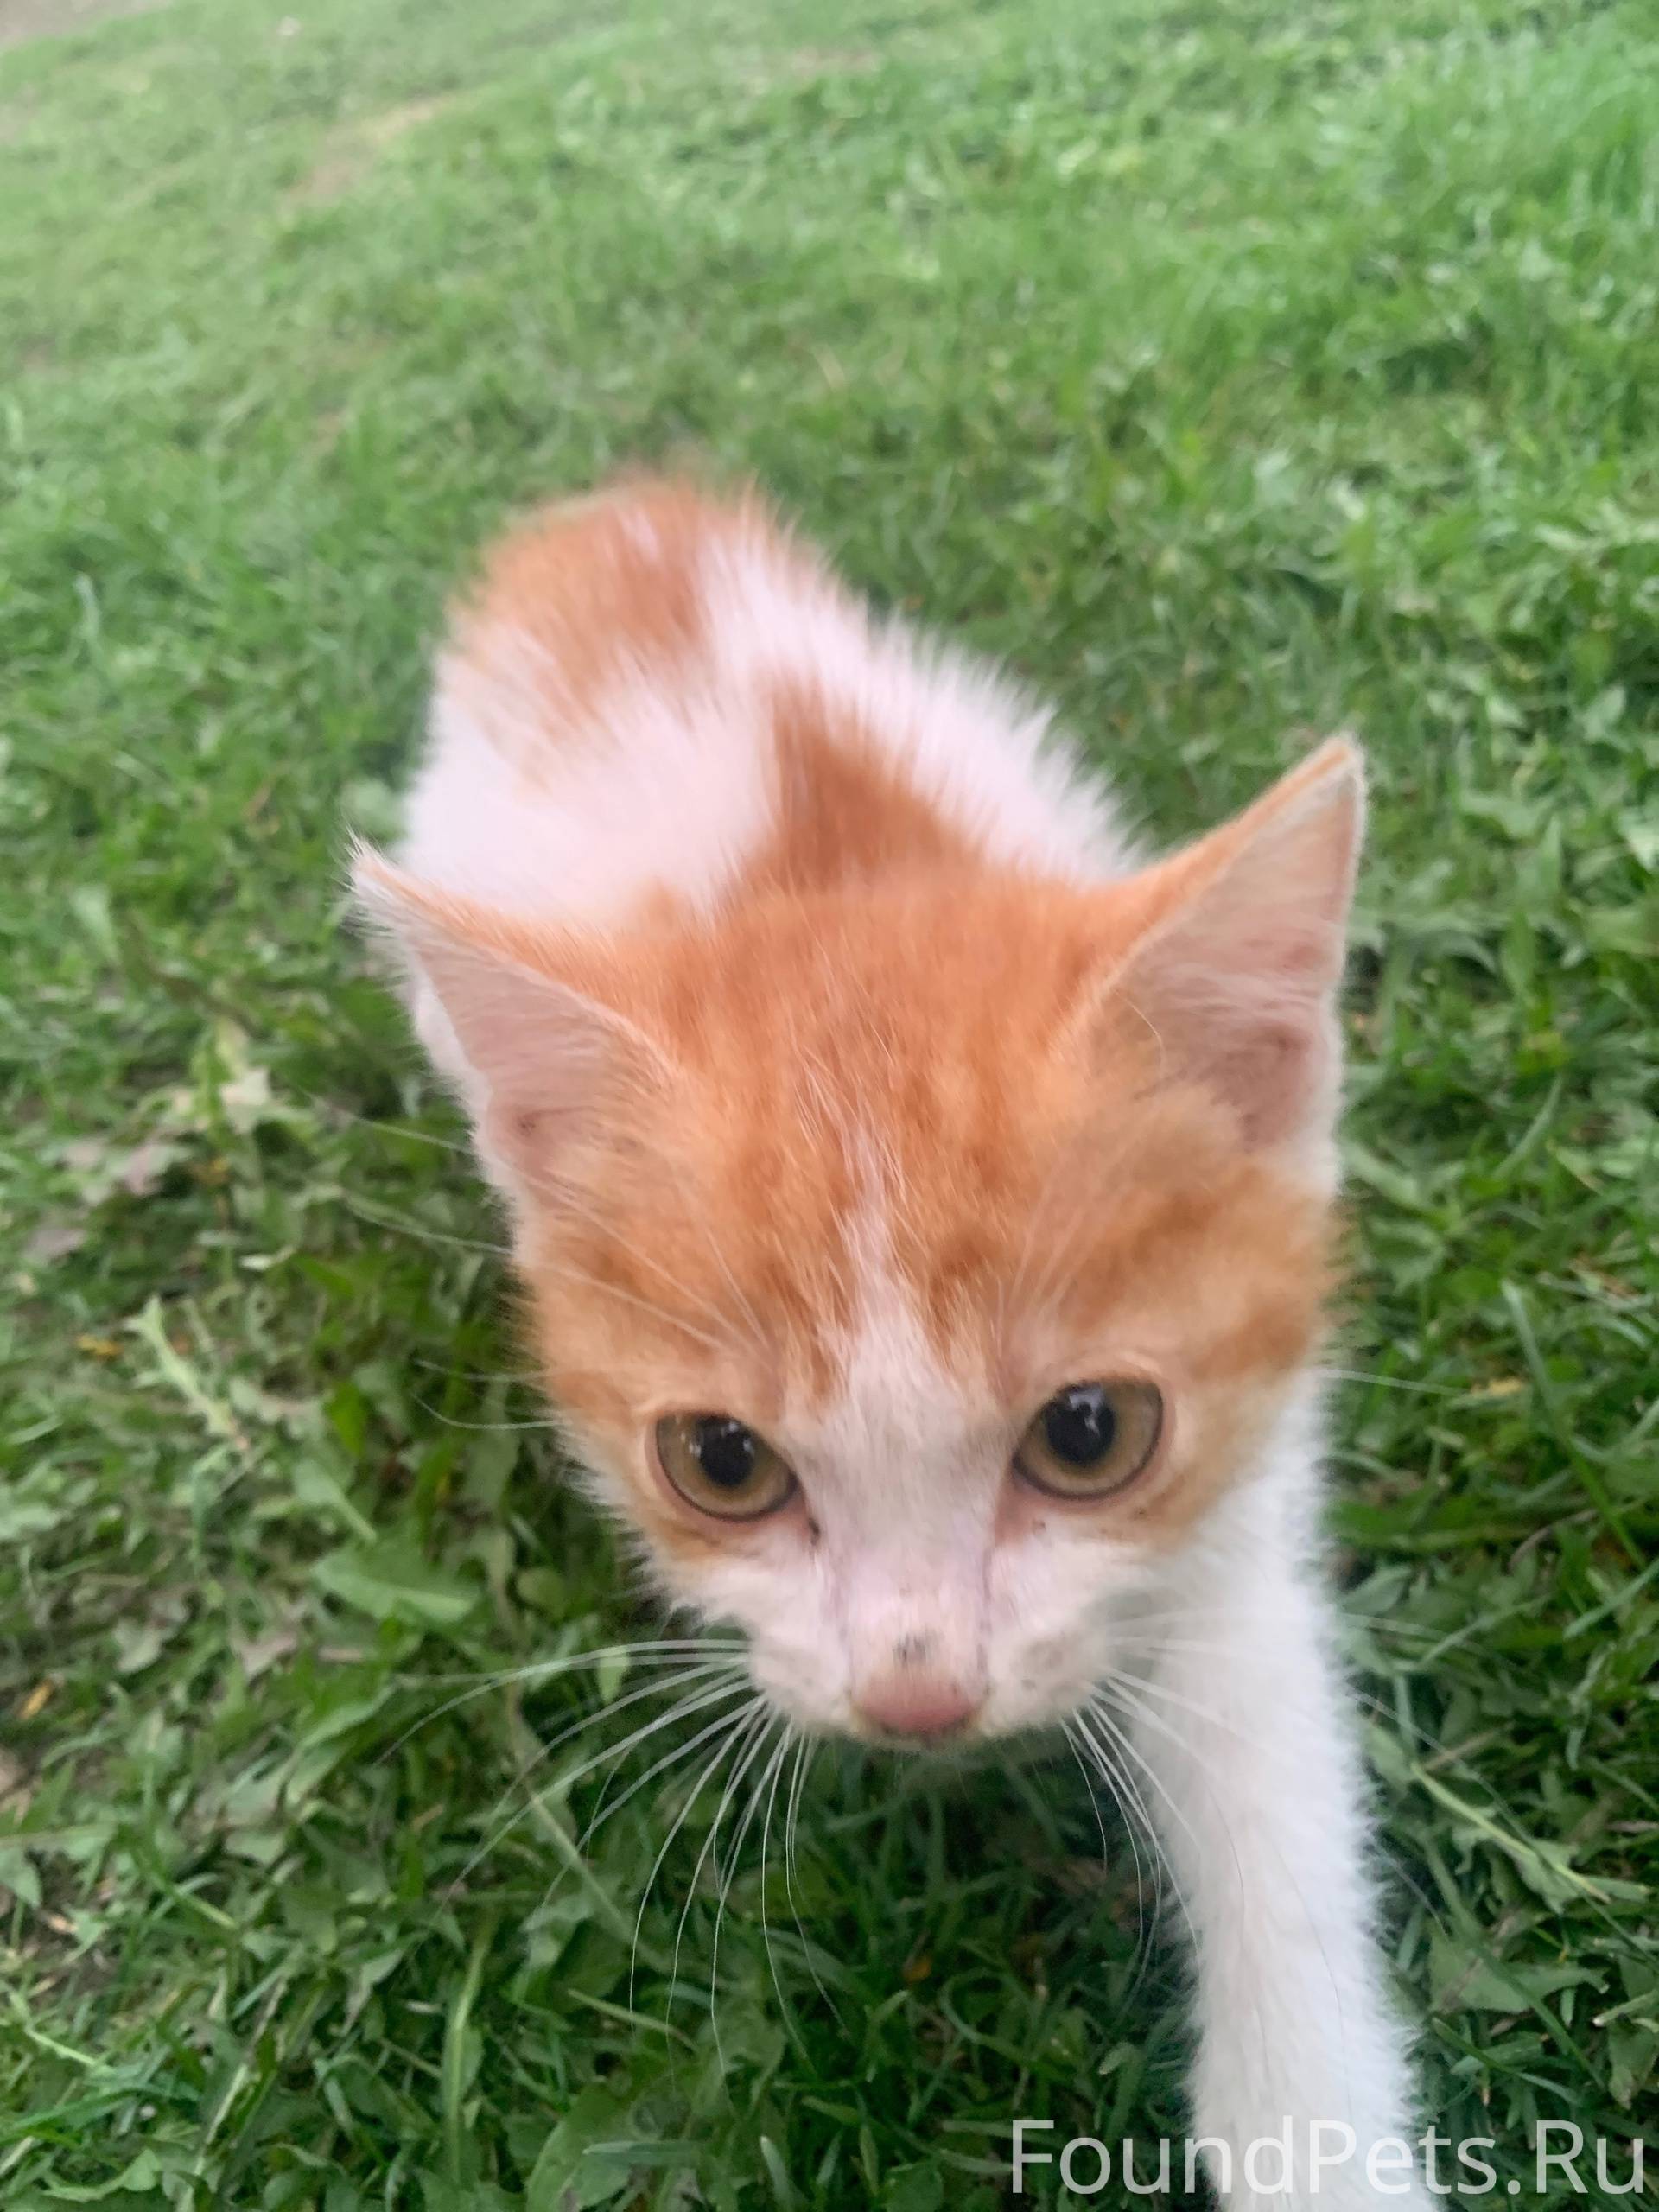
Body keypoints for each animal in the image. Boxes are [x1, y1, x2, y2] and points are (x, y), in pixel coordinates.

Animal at [354, 480, 1433, 2209]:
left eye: (1090, 1436)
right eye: (720, 1462)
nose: (918, 1702)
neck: (827, 890)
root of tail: (610, 514)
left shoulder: (1243, 1468)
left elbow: (1260, 1736)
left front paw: (1315, 2126)